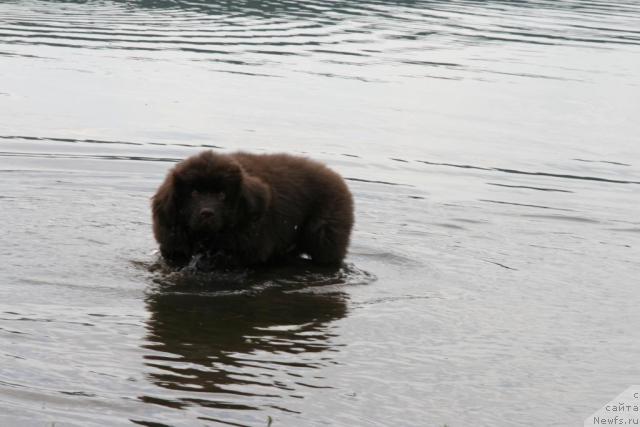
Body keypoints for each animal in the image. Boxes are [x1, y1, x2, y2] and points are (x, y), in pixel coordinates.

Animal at [151, 152, 356, 270]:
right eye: (194, 193)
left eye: (222, 194)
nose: (207, 213)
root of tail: (337, 178)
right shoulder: (173, 249)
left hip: (324, 237)